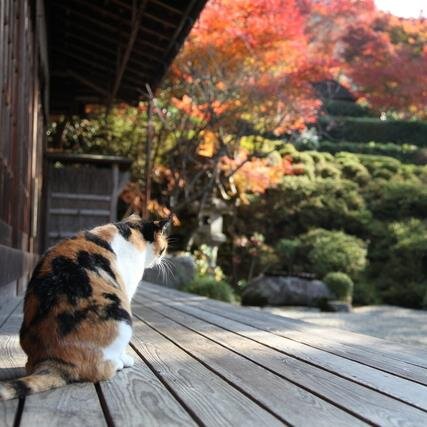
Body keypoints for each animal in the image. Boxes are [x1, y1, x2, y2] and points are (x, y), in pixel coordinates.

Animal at [0, 216, 170, 400]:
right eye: (164, 248)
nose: (162, 258)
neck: (129, 230)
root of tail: (53, 360)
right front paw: (125, 358)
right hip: (122, 317)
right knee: (98, 370)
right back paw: (119, 363)